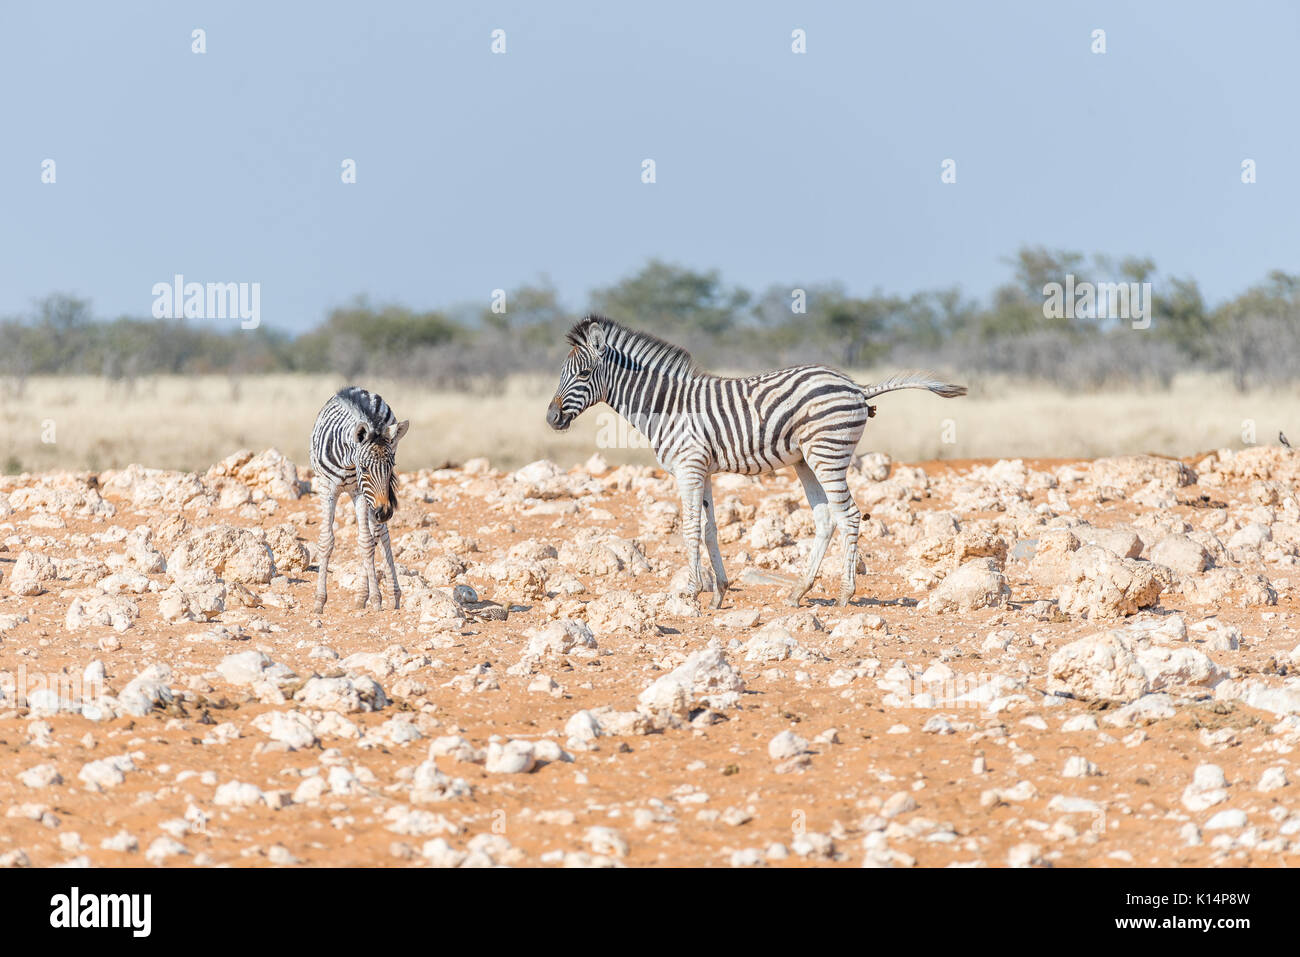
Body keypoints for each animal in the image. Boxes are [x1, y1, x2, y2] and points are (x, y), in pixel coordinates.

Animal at [309, 386, 410, 613]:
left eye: (391, 467)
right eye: (364, 468)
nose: (385, 512)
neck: (347, 462)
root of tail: (358, 389)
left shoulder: (360, 492)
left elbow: (365, 542)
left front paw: (376, 599)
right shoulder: (326, 489)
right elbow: (326, 541)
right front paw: (319, 602)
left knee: (379, 534)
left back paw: (385, 594)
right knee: (377, 533)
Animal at [546, 315, 966, 609]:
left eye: (584, 373)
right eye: (561, 373)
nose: (551, 418)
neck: (667, 406)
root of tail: (857, 386)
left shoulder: (688, 467)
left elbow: (690, 529)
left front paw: (690, 593)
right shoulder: (703, 469)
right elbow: (710, 529)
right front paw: (719, 592)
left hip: (827, 454)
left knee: (848, 516)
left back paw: (846, 593)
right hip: (805, 460)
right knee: (825, 519)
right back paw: (799, 591)